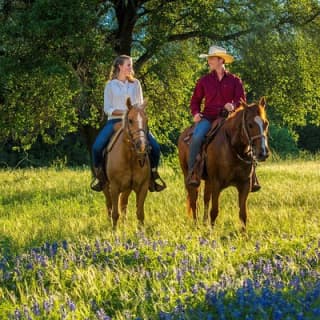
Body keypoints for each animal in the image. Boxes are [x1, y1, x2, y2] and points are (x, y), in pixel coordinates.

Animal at [103, 97, 151, 228]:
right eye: (130, 120)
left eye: (146, 120)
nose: (142, 146)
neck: (129, 158)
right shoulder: (114, 187)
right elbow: (115, 213)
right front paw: (114, 231)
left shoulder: (143, 187)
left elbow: (140, 213)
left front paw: (141, 232)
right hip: (105, 187)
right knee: (109, 205)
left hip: (126, 189)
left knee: (123, 204)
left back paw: (124, 225)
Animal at [179, 97, 268, 230]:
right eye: (250, 124)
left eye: (266, 123)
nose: (263, 152)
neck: (233, 148)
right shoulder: (217, 183)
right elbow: (214, 211)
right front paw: (211, 232)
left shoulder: (245, 185)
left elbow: (243, 214)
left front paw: (244, 234)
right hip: (189, 177)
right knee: (194, 200)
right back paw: (196, 225)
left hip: (208, 180)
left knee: (206, 198)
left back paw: (204, 223)